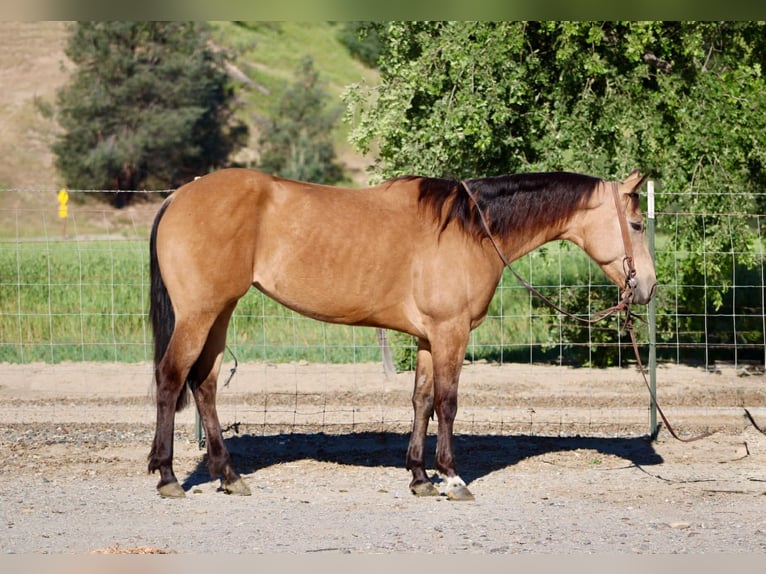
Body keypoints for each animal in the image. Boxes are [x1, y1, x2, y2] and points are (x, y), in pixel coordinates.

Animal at [148, 167, 657, 500]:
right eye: (636, 223)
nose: (648, 287)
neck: (471, 229)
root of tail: (179, 196)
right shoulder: (451, 333)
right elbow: (448, 404)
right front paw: (451, 477)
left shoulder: (430, 338)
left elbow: (422, 401)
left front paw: (419, 477)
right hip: (199, 313)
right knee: (171, 379)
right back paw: (168, 476)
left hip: (220, 311)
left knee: (205, 384)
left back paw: (228, 475)